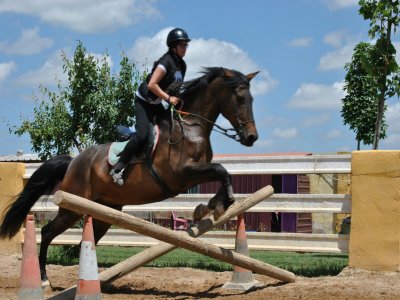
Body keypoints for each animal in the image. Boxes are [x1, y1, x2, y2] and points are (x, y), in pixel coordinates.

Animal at [0, 66, 260, 286]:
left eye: (252, 99)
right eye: (240, 99)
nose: (251, 138)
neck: (190, 125)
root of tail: (73, 161)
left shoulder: (193, 174)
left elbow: (222, 174)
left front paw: (212, 206)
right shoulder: (182, 174)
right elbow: (222, 171)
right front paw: (216, 206)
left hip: (103, 211)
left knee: (87, 240)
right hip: (71, 207)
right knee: (47, 232)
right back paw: (44, 279)